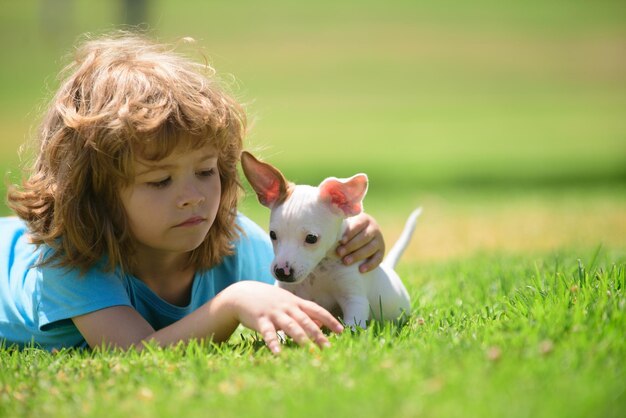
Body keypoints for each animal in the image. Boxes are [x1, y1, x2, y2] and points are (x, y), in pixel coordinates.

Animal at [240, 152, 420, 328]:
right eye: (273, 235)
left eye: (311, 238)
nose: (281, 272)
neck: (319, 270)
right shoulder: (287, 293)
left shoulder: (354, 299)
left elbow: (352, 327)